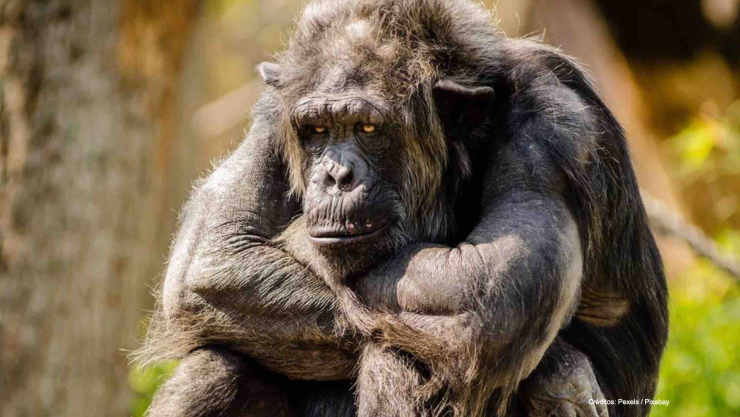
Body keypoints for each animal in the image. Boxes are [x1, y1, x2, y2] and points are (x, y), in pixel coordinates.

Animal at [138, 1, 668, 416]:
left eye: (368, 128)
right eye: (317, 130)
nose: (334, 176)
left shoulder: (555, 124)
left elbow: (492, 286)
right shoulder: (275, 108)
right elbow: (213, 257)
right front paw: (559, 368)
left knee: (413, 349)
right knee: (216, 366)